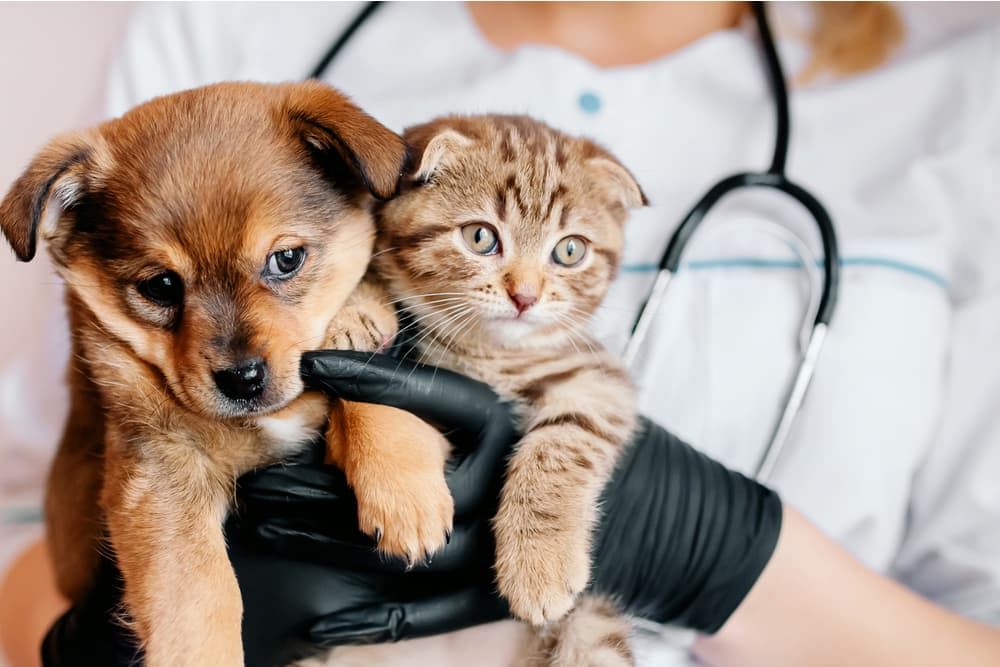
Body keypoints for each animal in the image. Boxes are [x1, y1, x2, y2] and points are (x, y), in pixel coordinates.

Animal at [0, 81, 454, 664]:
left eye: (287, 258)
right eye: (161, 286)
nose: (242, 379)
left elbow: (370, 381)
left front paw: (404, 493)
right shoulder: (161, 470)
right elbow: (199, 593)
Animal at [364, 116, 644, 667]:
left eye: (570, 251)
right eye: (480, 237)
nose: (526, 296)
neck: (489, 356)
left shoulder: (598, 377)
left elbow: (565, 440)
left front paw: (540, 563)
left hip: (592, 629)